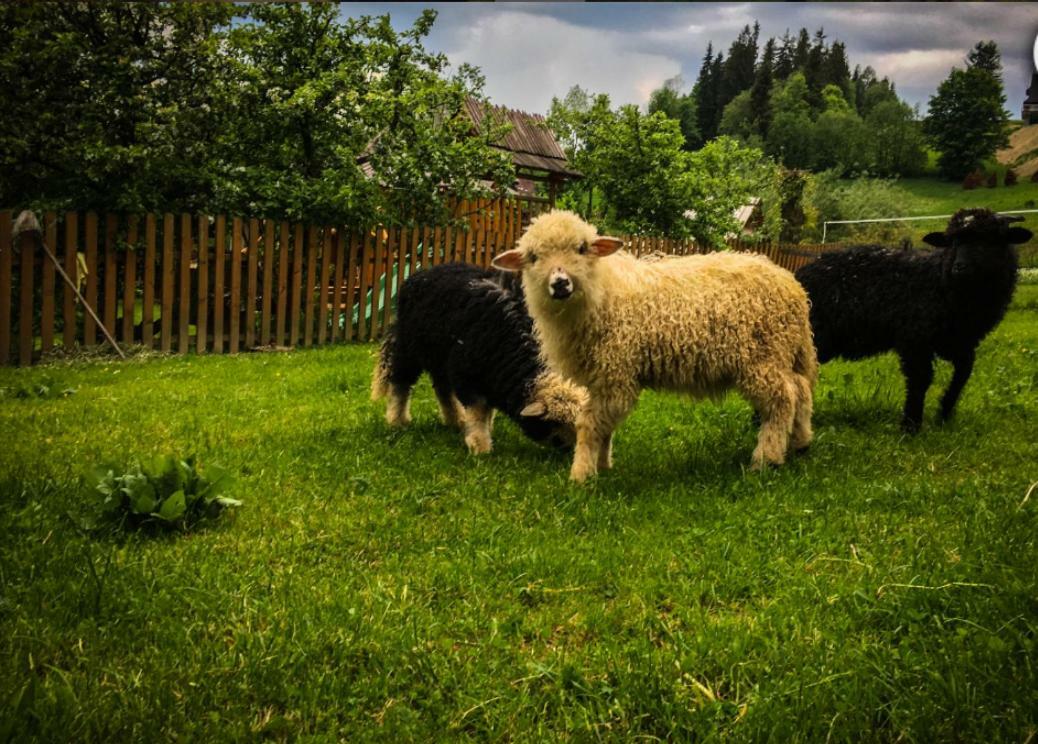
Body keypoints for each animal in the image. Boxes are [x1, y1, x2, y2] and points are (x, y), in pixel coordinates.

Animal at [373, 264, 589, 456]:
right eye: (555, 423)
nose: (570, 453)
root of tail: (421, 273)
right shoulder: (468, 375)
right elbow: (477, 411)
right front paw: (480, 447)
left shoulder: (491, 375)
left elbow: (487, 410)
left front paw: (486, 429)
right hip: (409, 347)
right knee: (401, 381)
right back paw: (397, 420)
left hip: (440, 357)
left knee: (442, 388)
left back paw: (454, 420)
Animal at [793, 207, 1029, 429]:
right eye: (952, 241)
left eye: (990, 239)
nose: (959, 268)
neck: (940, 280)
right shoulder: (915, 338)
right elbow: (920, 378)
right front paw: (911, 425)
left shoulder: (957, 341)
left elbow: (964, 372)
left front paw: (944, 413)